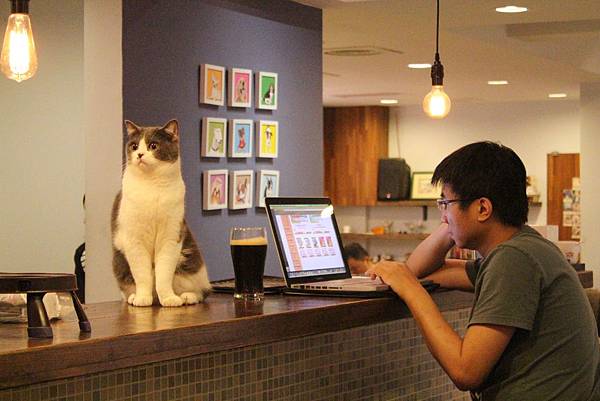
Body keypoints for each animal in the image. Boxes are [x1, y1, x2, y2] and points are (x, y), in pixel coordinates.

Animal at [111, 119, 212, 306]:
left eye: (153, 145)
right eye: (134, 146)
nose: (140, 154)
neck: (152, 184)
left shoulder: (171, 237)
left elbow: (164, 274)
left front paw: (169, 299)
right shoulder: (134, 240)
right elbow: (142, 275)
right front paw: (142, 298)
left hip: (193, 267)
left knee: (203, 291)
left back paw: (187, 297)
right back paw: (134, 297)